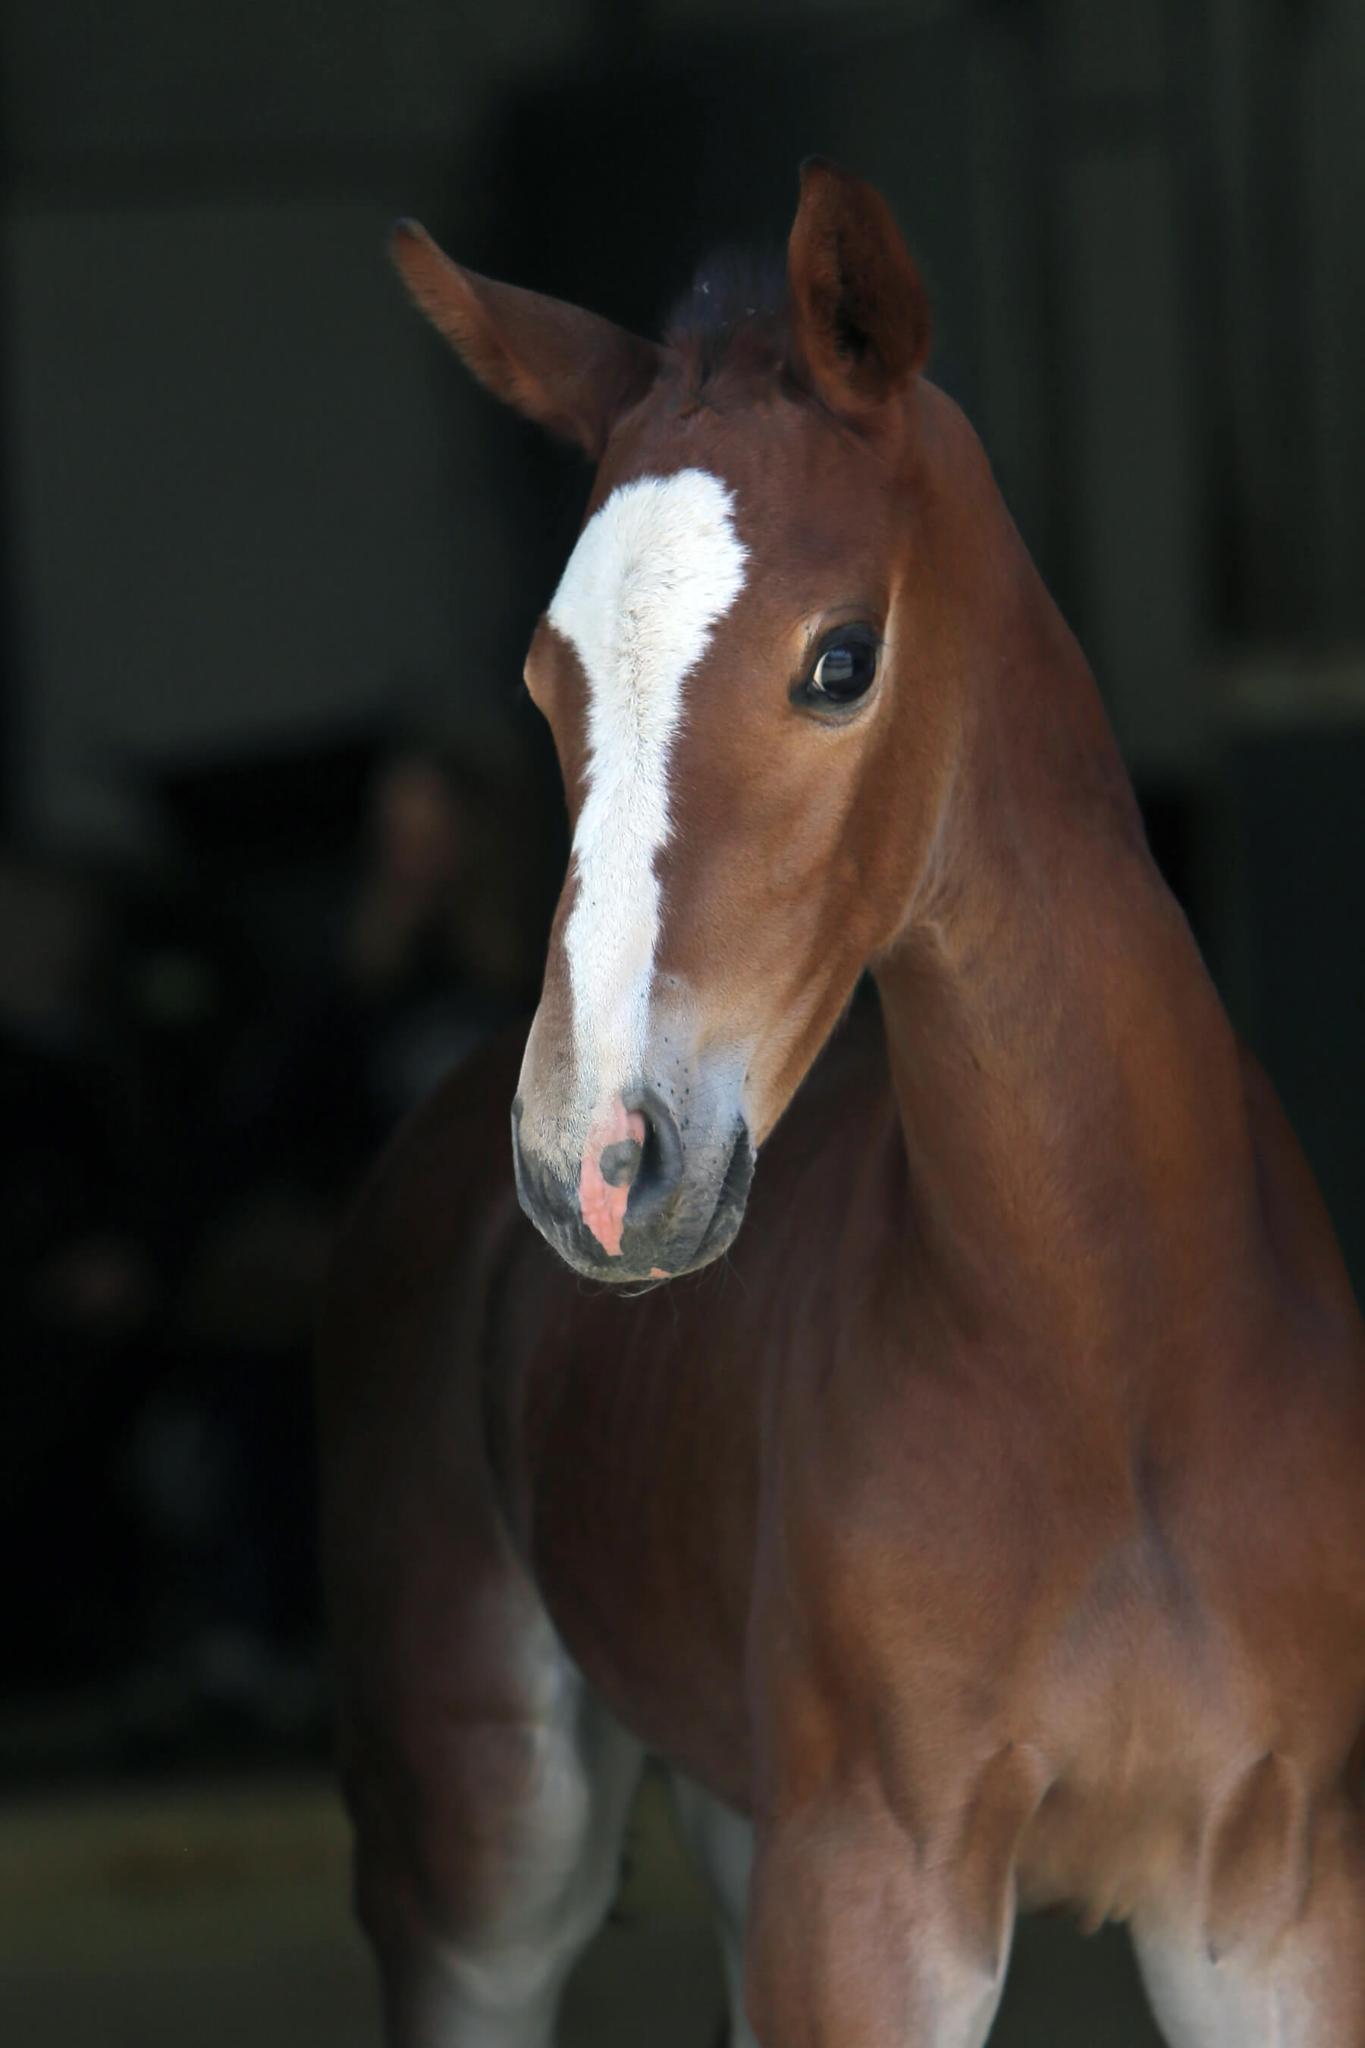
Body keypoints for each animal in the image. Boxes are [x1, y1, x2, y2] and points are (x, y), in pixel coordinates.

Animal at [318, 161, 1365, 2047]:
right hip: (487, 1856)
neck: (1115, 1361)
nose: (594, 1164)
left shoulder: (1278, 1896)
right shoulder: (872, 1897)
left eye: (840, 662)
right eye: (546, 683)